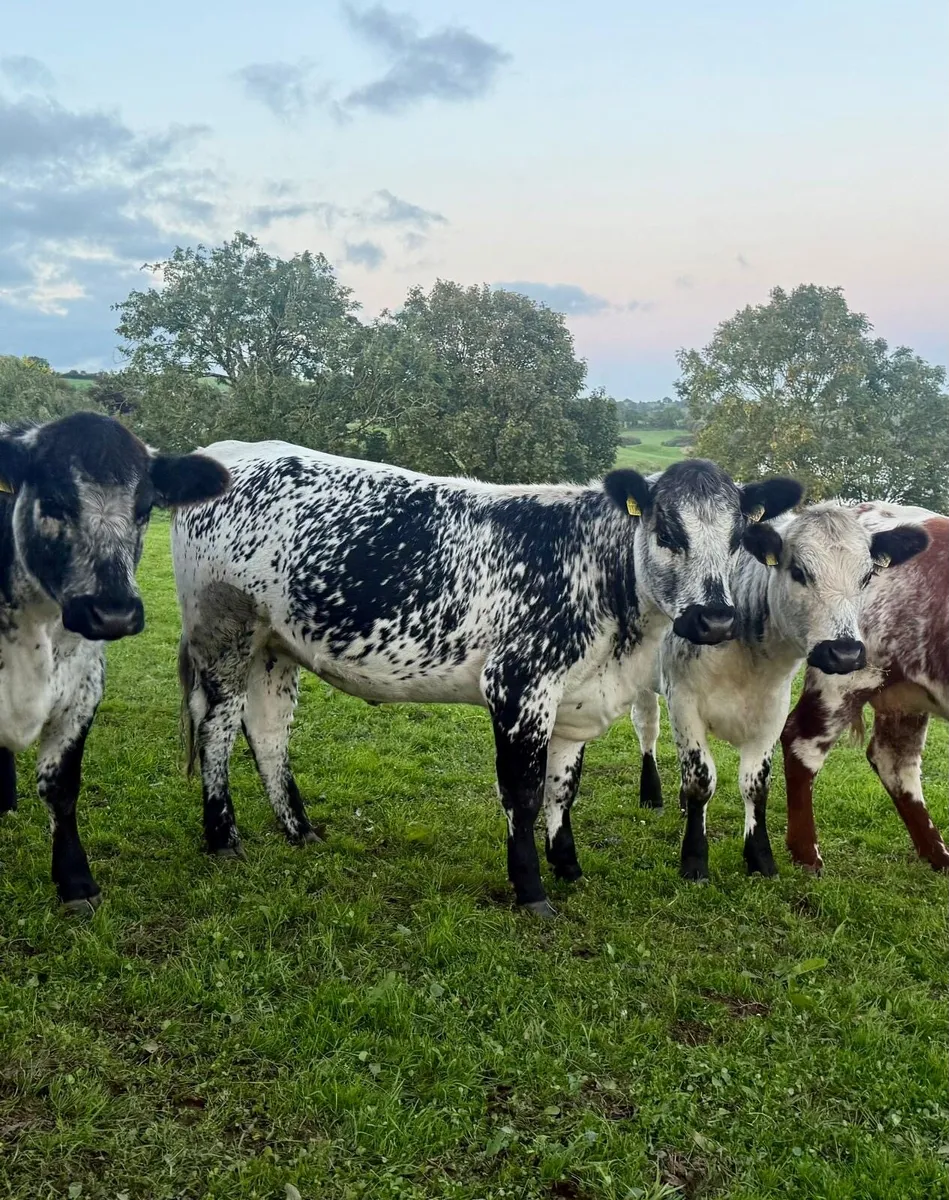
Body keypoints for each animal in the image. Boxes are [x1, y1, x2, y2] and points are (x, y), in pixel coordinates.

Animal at [0, 412, 230, 911]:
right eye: (53, 502)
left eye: (144, 509)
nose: (114, 614)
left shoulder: (82, 692)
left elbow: (62, 788)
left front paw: (75, 882)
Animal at [171, 438, 801, 916]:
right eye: (668, 531)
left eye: (739, 538)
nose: (714, 619)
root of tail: (232, 450)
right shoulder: (519, 686)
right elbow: (522, 793)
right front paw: (531, 890)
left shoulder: (575, 699)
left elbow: (562, 787)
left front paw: (568, 865)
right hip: (225, 635)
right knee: (216, 730)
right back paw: (222, 837)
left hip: (274, 647)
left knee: (269, 734)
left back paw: (300, 829)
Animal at [630, 502, 929, 881]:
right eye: (799, 571)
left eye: (867, 577)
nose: (845, 653)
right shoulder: (684, 703)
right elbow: (701, 781)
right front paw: (694, 860)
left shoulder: (772, 711)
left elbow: (756, 786)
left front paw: (760, 858)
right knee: (647, 730)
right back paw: (651, 794)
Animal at [781, 501, 949, 874]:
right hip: (846, 676)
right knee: (801, 742)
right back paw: (807, 855)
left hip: (903, 694)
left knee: (894, 760)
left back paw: (938, 855)